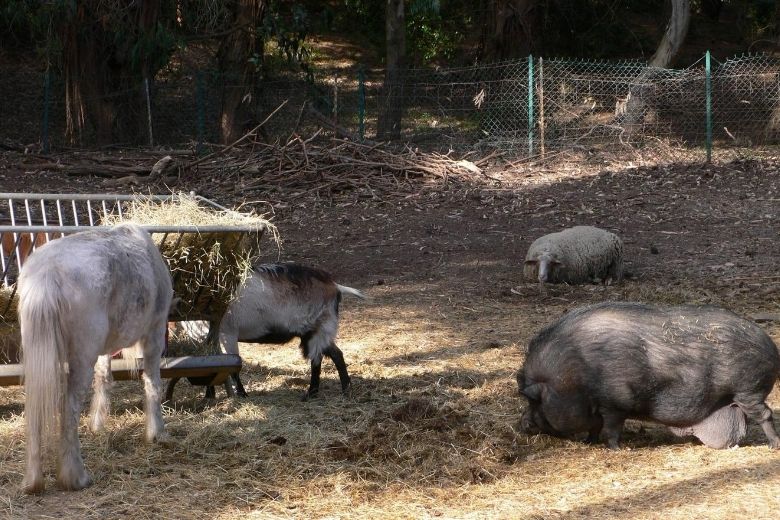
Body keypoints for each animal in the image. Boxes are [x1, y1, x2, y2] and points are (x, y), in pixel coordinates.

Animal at [17, 222, 174, 492]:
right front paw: (155, 433)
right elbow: (152, 383)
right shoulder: (154, 334)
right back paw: (75, 477)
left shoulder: (104, 349)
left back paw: (33, 481)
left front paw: (98, 425)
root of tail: (48, 272)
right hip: (81, 357)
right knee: (68, 407)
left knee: (37, 408)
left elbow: (103, 378)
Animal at [516, 302, 780, 448]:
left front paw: (615, 449)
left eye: (533, 400)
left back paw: (773, 446)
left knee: (765, 414)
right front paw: (588, 442)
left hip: (749, 389)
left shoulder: (615, 404)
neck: (574, 376)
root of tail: (771, 347)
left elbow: (611, 429)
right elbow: (595, 427)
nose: (521, 425)